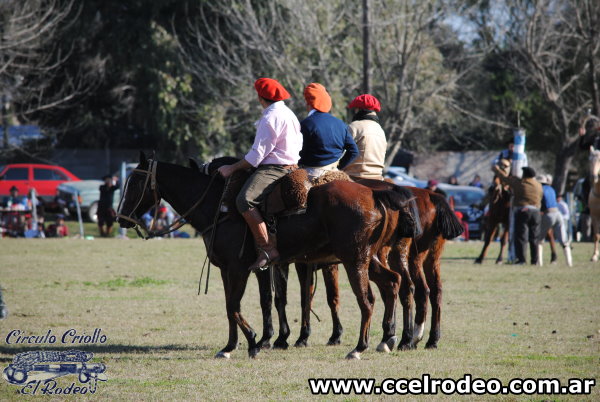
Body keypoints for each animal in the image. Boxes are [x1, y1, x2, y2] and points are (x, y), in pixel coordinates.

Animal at [116, 153, 418, 358]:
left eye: (135, 182)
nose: (121, 219)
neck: (219, 206)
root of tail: (375, 194)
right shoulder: (234, 269)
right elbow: (243, 304)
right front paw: (232, 345)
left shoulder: (239, 268)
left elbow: (236, 305)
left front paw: (253, 341)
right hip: (371, 258)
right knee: (393, 283)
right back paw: (388, 339)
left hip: (354, 260)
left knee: (368, 299)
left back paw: (360, 347)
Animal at [270, 182, 462, 352]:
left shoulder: (303, 264)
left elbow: (312, 298)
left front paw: (295, 337)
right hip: (427, 258)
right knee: (427, 290)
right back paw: (424, 339)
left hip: (399, 258)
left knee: (408, 289)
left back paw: (404, 339)